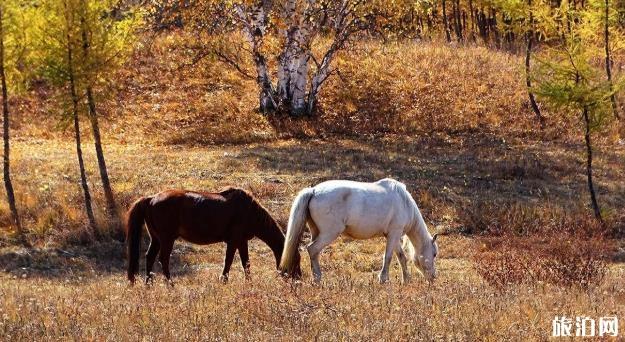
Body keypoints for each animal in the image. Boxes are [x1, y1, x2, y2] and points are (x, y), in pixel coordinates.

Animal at [125, 187, 302, 284]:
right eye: (296, 259)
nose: (298, 280)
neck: (249, 211)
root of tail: (151, 199)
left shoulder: (242, 241)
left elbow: (246, 263)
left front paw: (248, 282)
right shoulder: (234, 241)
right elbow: (229, 261)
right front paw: (224, 280)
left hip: (156, 239)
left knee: (149, 257)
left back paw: (149, 284)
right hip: (166, 239)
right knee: (163, 259)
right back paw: (170, 284)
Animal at [280, 178, 438, 282]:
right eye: (434, 254)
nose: (433, 278)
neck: (404, 202)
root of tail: (313, 191)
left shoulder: (393, 236)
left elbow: (401, 257)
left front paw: (406, 280)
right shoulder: (394, 234)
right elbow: (388, 257)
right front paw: (383, 279)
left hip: (316, 232)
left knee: (314, 252)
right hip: (329, 234)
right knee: (312, 249)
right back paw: (318, 278)